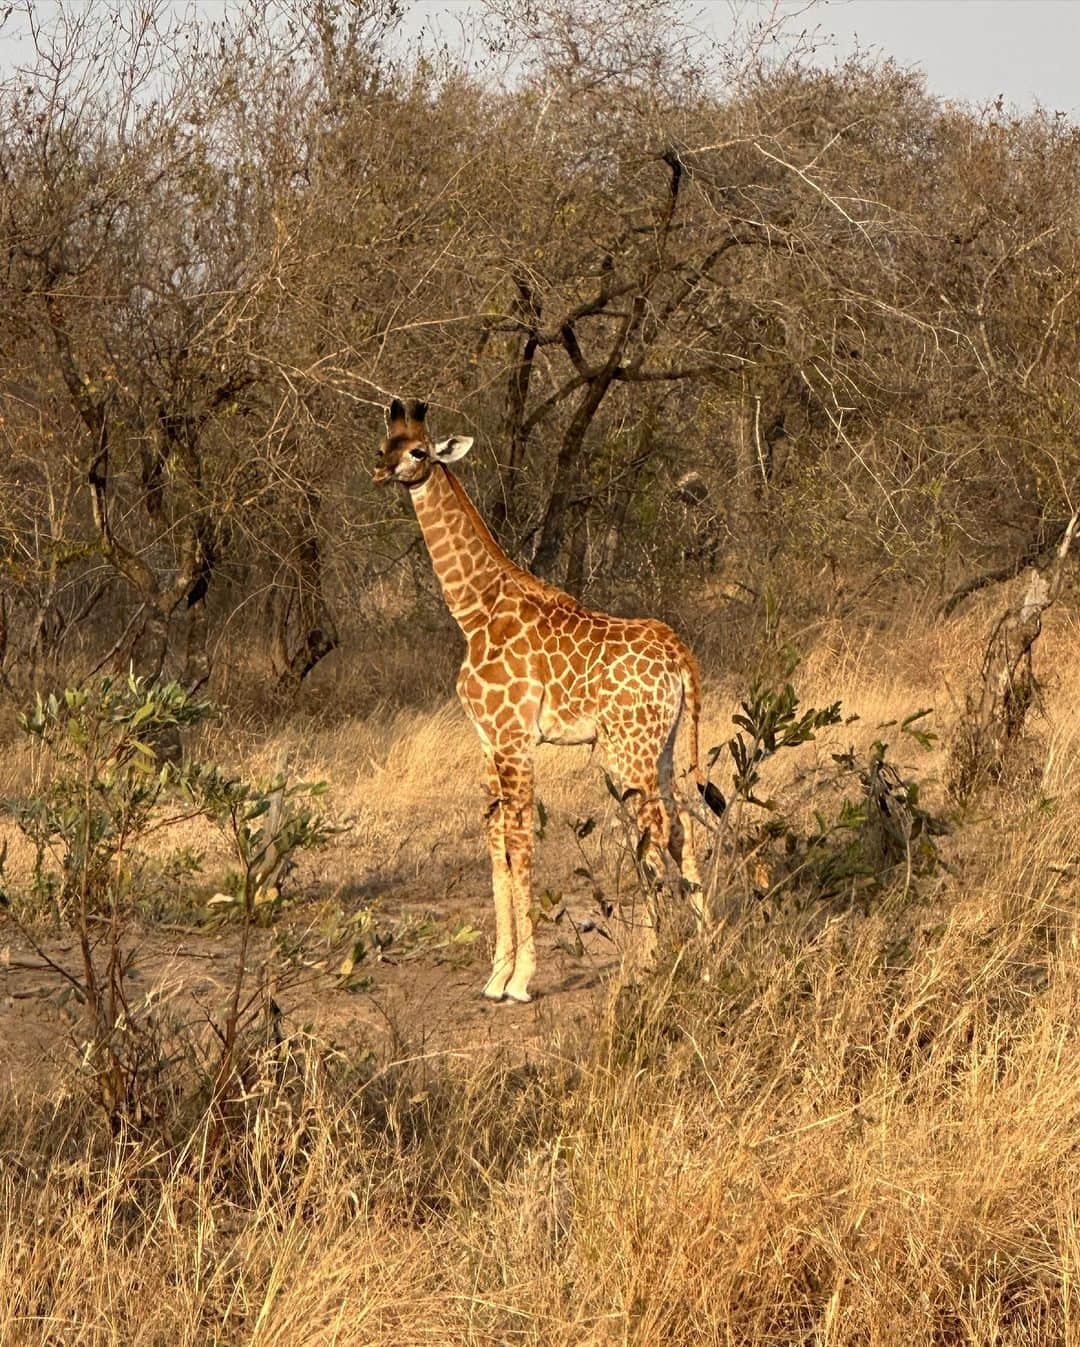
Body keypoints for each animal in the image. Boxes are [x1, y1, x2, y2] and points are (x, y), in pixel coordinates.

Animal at [371, 398, 721, 1002]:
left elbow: (521, 842)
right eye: (382, 445)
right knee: (679, 825)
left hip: (627, 750)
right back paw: (699, 955)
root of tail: (681, 654)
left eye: (417, 451)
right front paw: (495, 974)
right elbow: (496, 841)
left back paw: (655, 959)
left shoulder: (515, 738)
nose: (382, 473)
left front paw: (520, 980)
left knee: (656, 829)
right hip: (664, 744)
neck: (474, 609)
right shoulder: (487, 740)